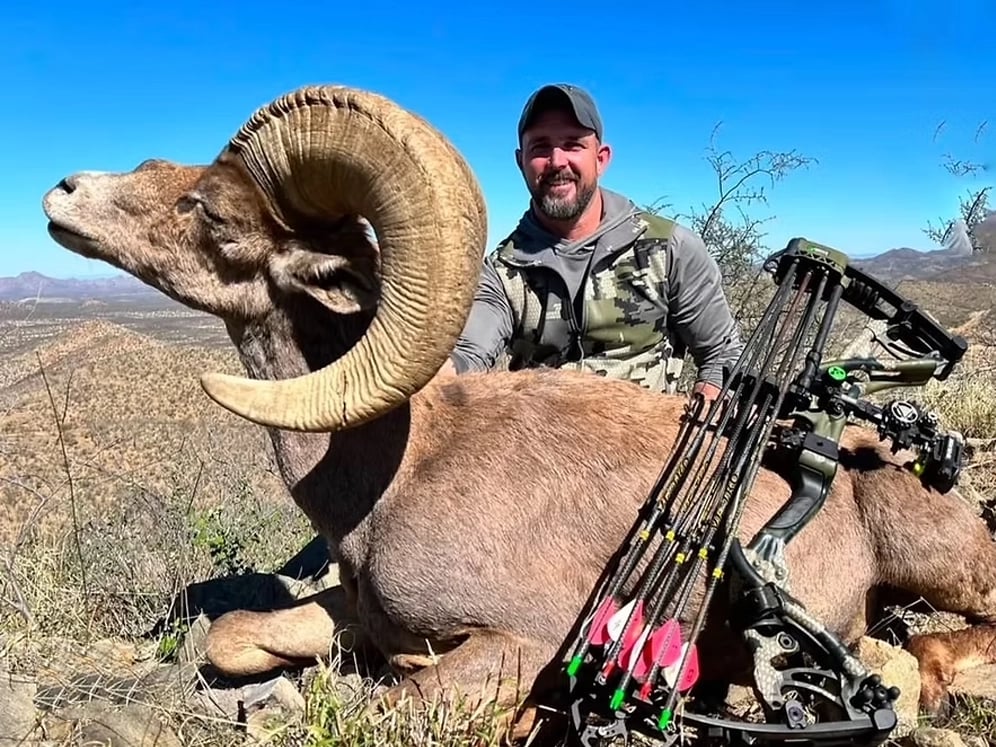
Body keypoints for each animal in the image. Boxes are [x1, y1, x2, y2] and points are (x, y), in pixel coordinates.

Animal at [41, 84, 996, 738]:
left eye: (212, 212)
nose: (62, 193)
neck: (395, 472)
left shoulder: (518, 644)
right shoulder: (355, 611)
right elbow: (234, 635)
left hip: (943, 567)